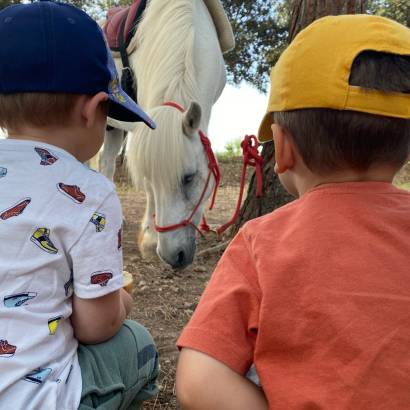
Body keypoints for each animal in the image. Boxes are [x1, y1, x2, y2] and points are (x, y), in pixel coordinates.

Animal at [101, 0, 234, 270]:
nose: (174, 256)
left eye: (189, 178)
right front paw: (150, 240)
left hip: (114, 128)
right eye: (150, 177)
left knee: (107, 163)